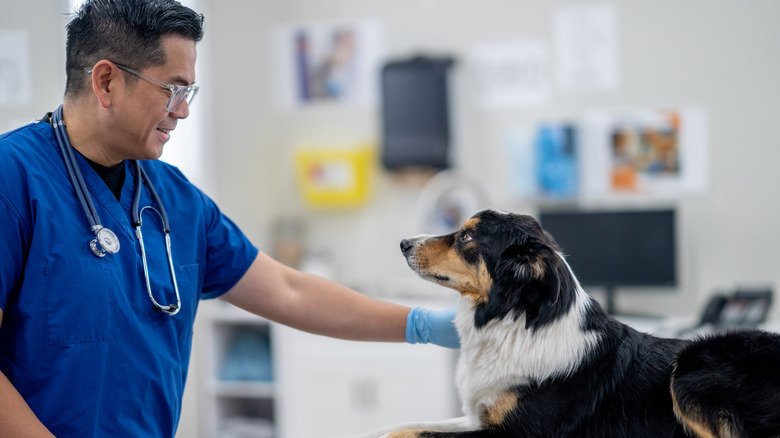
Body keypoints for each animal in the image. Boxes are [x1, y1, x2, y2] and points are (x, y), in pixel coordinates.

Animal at [352, 209, 780, 438]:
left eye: (468, 236)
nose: (404, 243)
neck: (512, 322)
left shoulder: (518, 432)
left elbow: (414, 430)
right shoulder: (479, 416)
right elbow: (409, 423)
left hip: (690, 368)